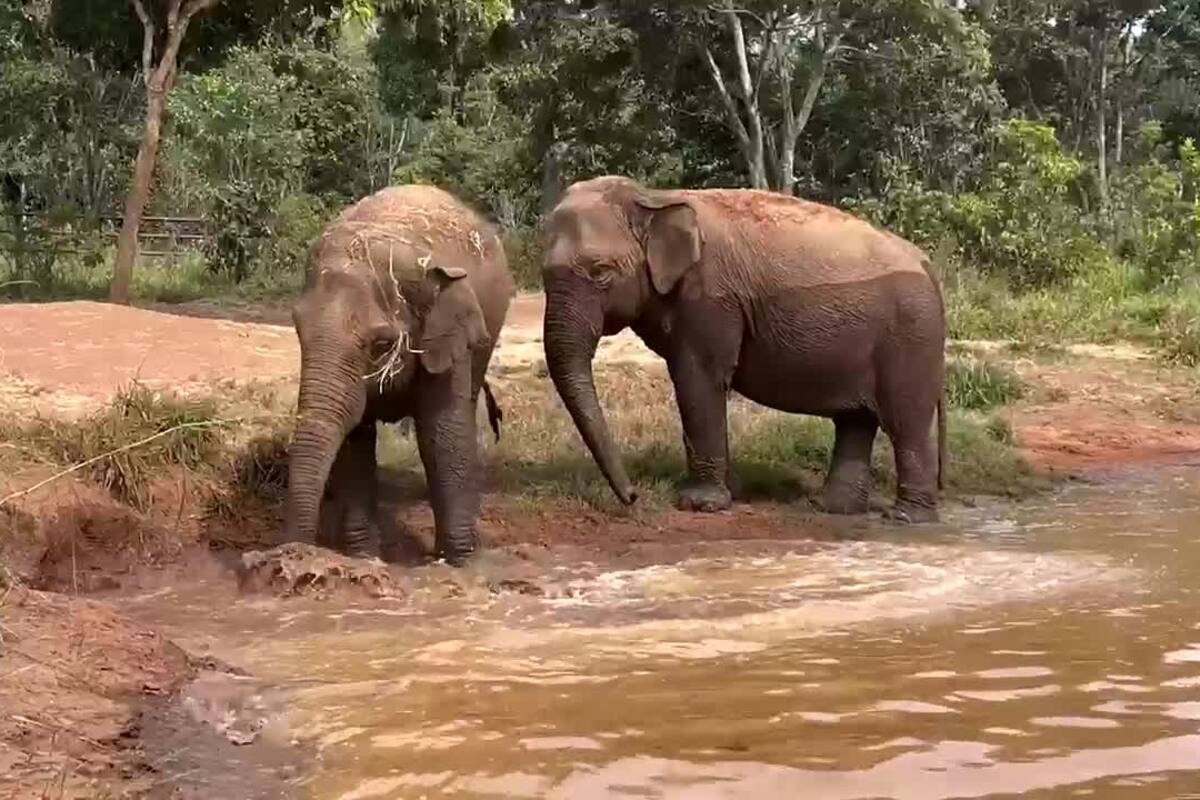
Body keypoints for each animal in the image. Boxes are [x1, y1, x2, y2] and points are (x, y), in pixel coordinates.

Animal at [283, 185, 515, 565]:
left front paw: (459, 562)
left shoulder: (447, 337)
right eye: (298, 329)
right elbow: (355, 438)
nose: (293, 551)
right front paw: (365, 559)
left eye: (381, 343)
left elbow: (441, 433)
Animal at [542, 176, 946, 522]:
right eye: (543, 273)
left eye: (601, 272)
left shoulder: (711, 300)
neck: (654, 197)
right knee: (856, 419)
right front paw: (723, 494)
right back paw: (831, 507)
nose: (633, 497)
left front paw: (699, 504)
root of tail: (926, 263)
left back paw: (906, 517)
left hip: (911, 334)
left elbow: (697, 377)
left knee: (904, 419)